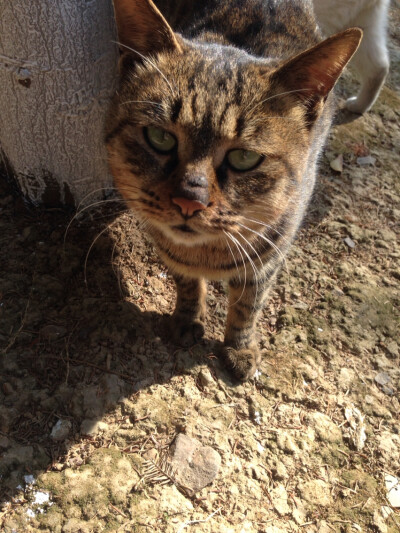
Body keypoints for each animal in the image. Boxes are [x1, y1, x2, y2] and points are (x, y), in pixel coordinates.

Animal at [104, 1, 360, 382]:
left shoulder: (269, 257)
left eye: (244, 157)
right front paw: (187, 318)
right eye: (160, 137)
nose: (189, 201)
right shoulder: (170, 250)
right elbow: (186, 283)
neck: (207, 254)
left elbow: (248, 305)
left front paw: (239, 348)